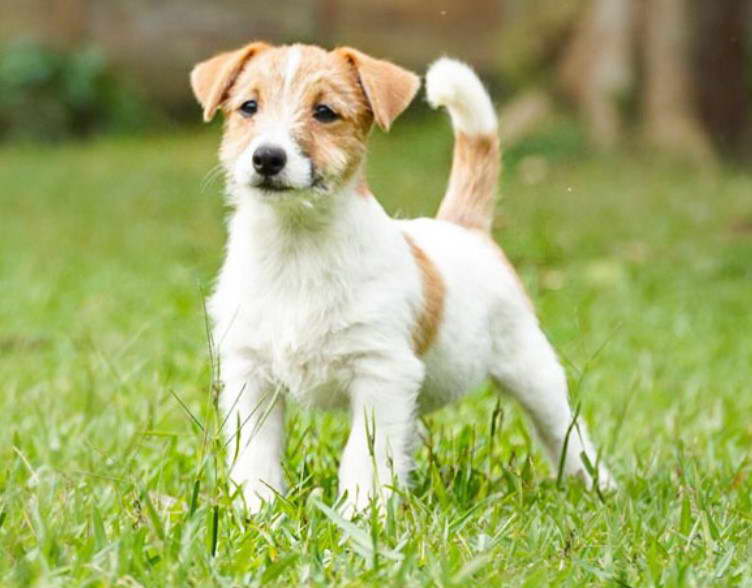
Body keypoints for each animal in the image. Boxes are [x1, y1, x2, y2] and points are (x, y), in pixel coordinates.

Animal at [191, 42, 612, 516]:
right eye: (249, 106)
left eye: (324, 112)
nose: (267, 157)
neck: (296, 246)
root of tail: (465, 228)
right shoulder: (251, 375)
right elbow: (255, 452)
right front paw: (257, 510)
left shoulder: (380, 372)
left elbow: (363, 455)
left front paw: (360, 515)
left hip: (531, 367)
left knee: (563, 430)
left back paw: (597, 484)